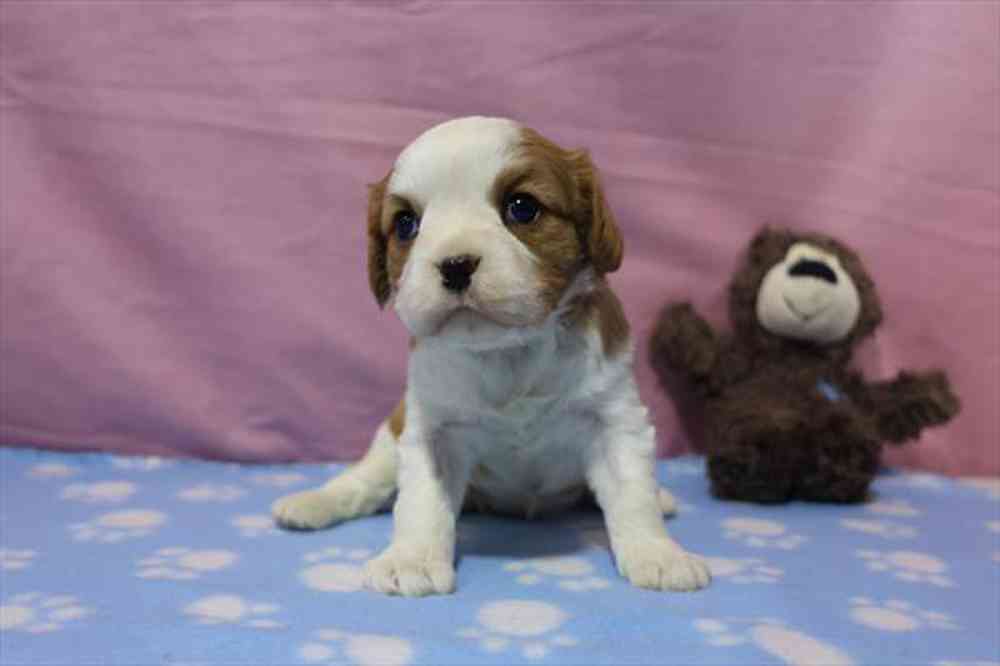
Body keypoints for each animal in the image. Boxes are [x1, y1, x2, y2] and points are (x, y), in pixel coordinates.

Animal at [274, 116, 712, 592]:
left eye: (522, 208)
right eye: (407, 224)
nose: (455, 264)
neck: (507, 350)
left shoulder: (613, 416)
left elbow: (632, 489)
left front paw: (658, 553)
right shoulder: (433, 430)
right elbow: (421, 501)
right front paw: (411, 560)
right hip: (391, 436)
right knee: (363, 480)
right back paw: (311, 502)